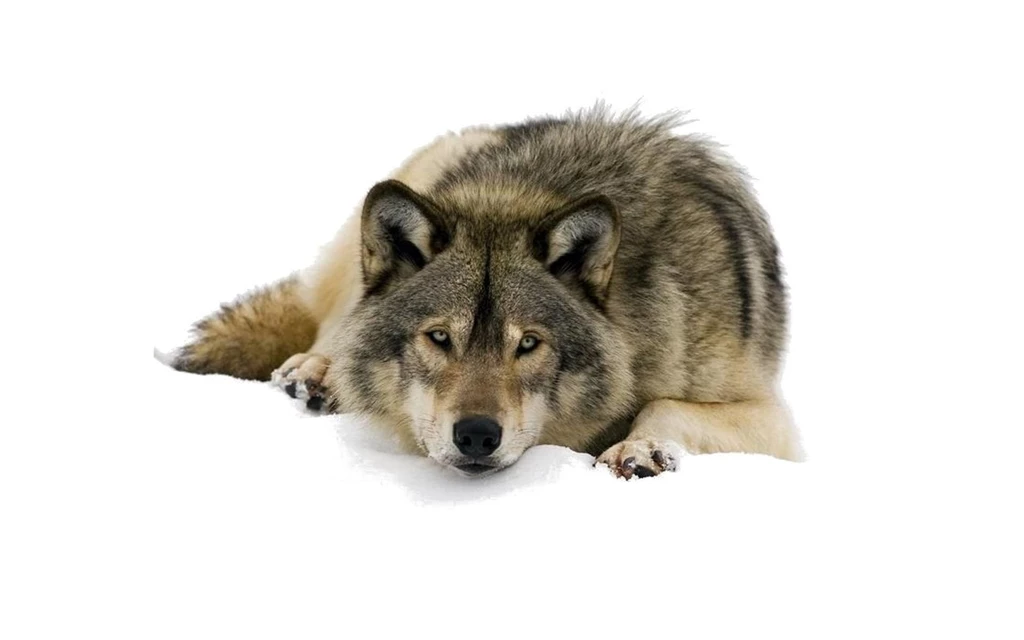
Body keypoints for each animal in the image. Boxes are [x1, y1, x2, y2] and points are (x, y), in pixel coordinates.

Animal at [171, 106, 803, 478]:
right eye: (438, 337)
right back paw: (316, 373)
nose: (476, 435)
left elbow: (662, 404)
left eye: (528, 344)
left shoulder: (773, 421)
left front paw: (638, 448)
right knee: (334, 323)